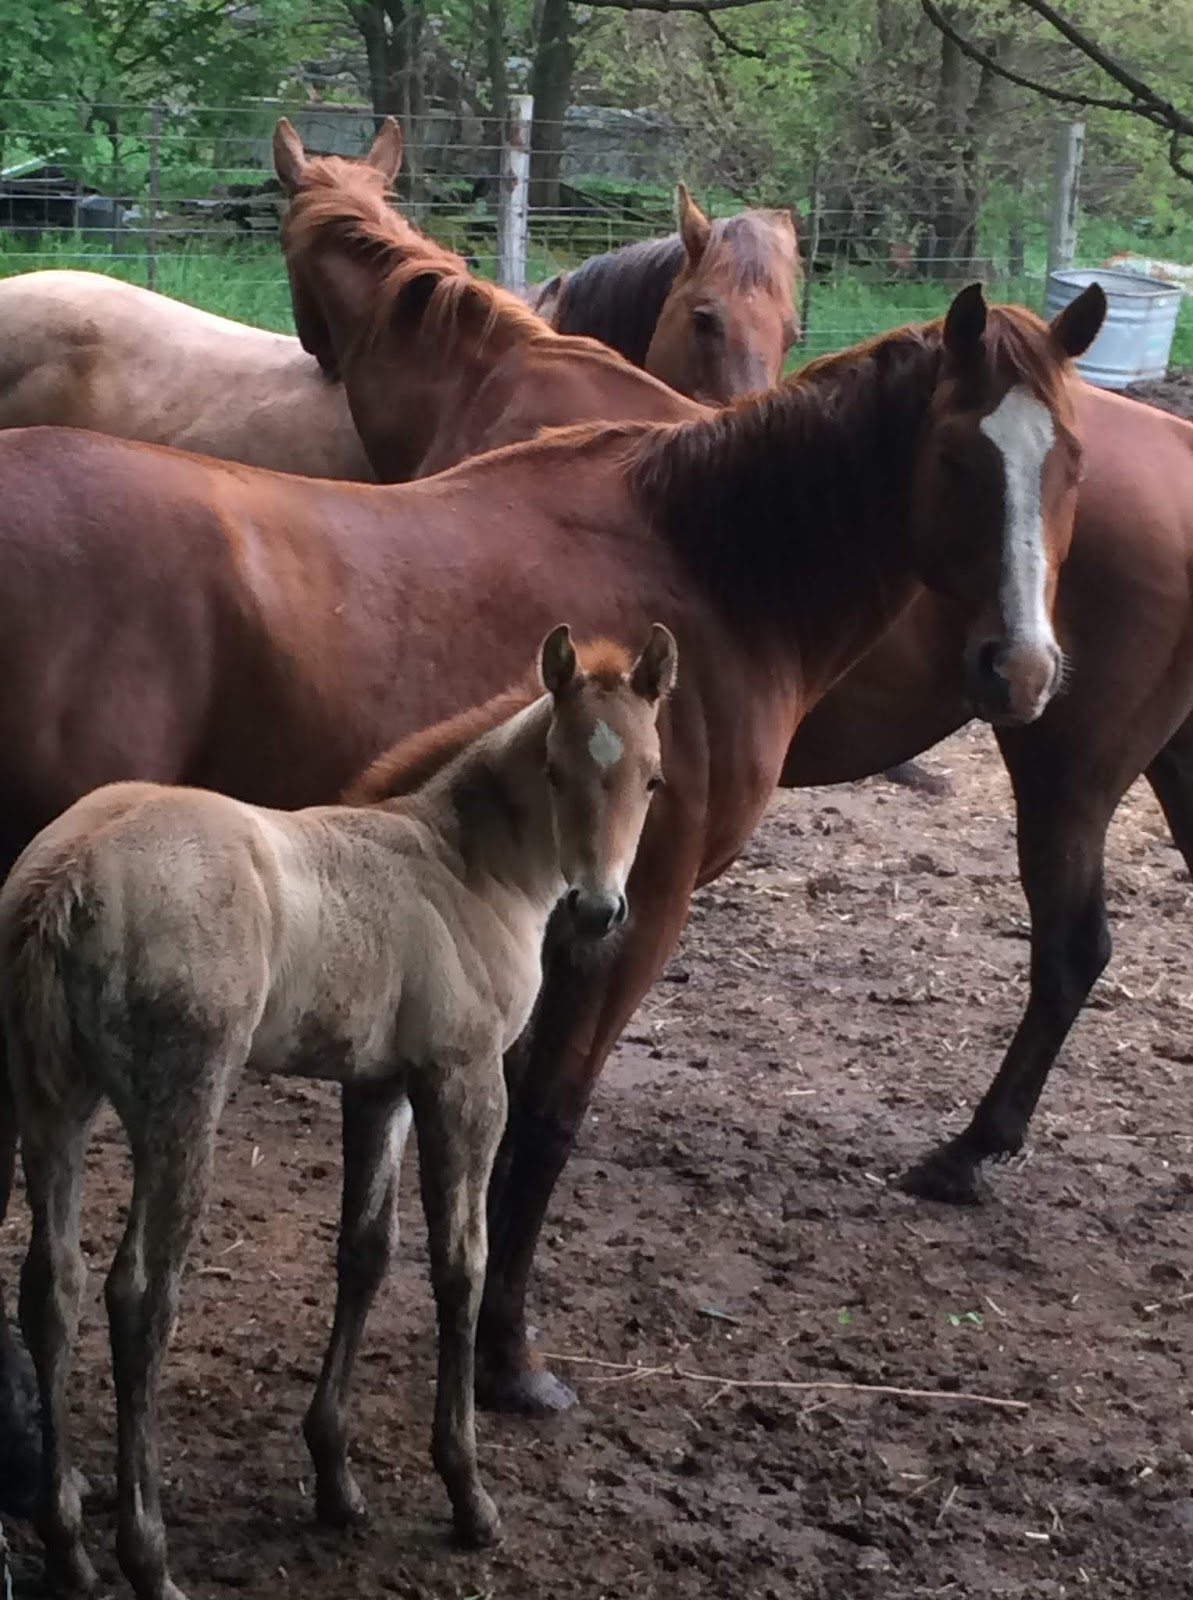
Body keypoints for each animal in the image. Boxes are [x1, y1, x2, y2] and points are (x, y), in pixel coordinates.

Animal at [1, 624, 677, 1599]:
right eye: (554, 769)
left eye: (651, 779)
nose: (597, 911)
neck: (461, 866)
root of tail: (69, 873)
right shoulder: (464, 1078)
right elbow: (459, 1265)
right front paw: (467, 1492)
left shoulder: (378, 1083)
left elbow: (364, 1253)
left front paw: (336, 1480)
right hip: (183, 1103)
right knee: (139, 1295)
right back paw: (148, 1560)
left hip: (52, 1101)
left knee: (51, 1289)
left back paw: (68, 1549)